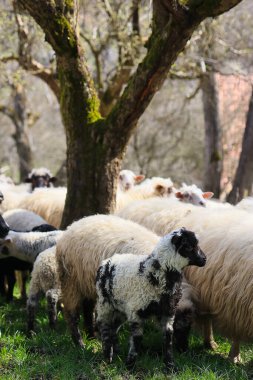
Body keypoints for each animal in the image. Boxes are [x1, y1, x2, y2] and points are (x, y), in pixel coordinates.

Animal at [96, 229, 207, 372]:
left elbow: (168, 339)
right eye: (188, 246)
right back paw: (107, 355)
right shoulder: (136, 311)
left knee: (113, 328)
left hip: (120, 308)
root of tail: (107, 261)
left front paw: (170, 367)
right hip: (105, 304)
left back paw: (115, 352)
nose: (204, 259)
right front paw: (130, 366)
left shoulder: (168, 313)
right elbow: (137, 339)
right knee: (104, 326)